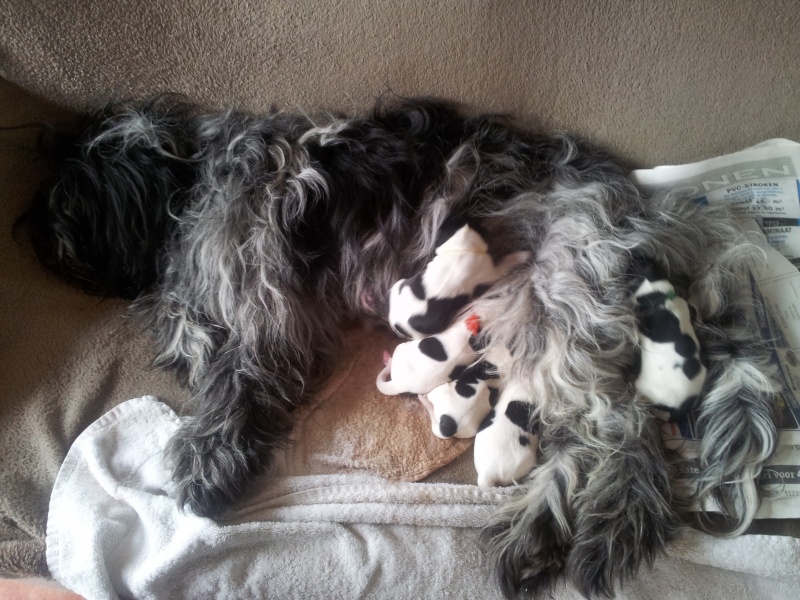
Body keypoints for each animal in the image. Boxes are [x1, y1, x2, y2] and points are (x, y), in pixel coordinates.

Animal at [24, 96, 777, 598]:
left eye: (71, 191)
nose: (34, 231)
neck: (196, 173)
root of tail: (646, 213)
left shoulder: (267, 312)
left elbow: (235, 381)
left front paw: (210, 459)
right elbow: (199, 342)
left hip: (558, 312)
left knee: (625, 435)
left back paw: (597, 525)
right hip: (532, 321)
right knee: (599, 435)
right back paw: (549, 536)